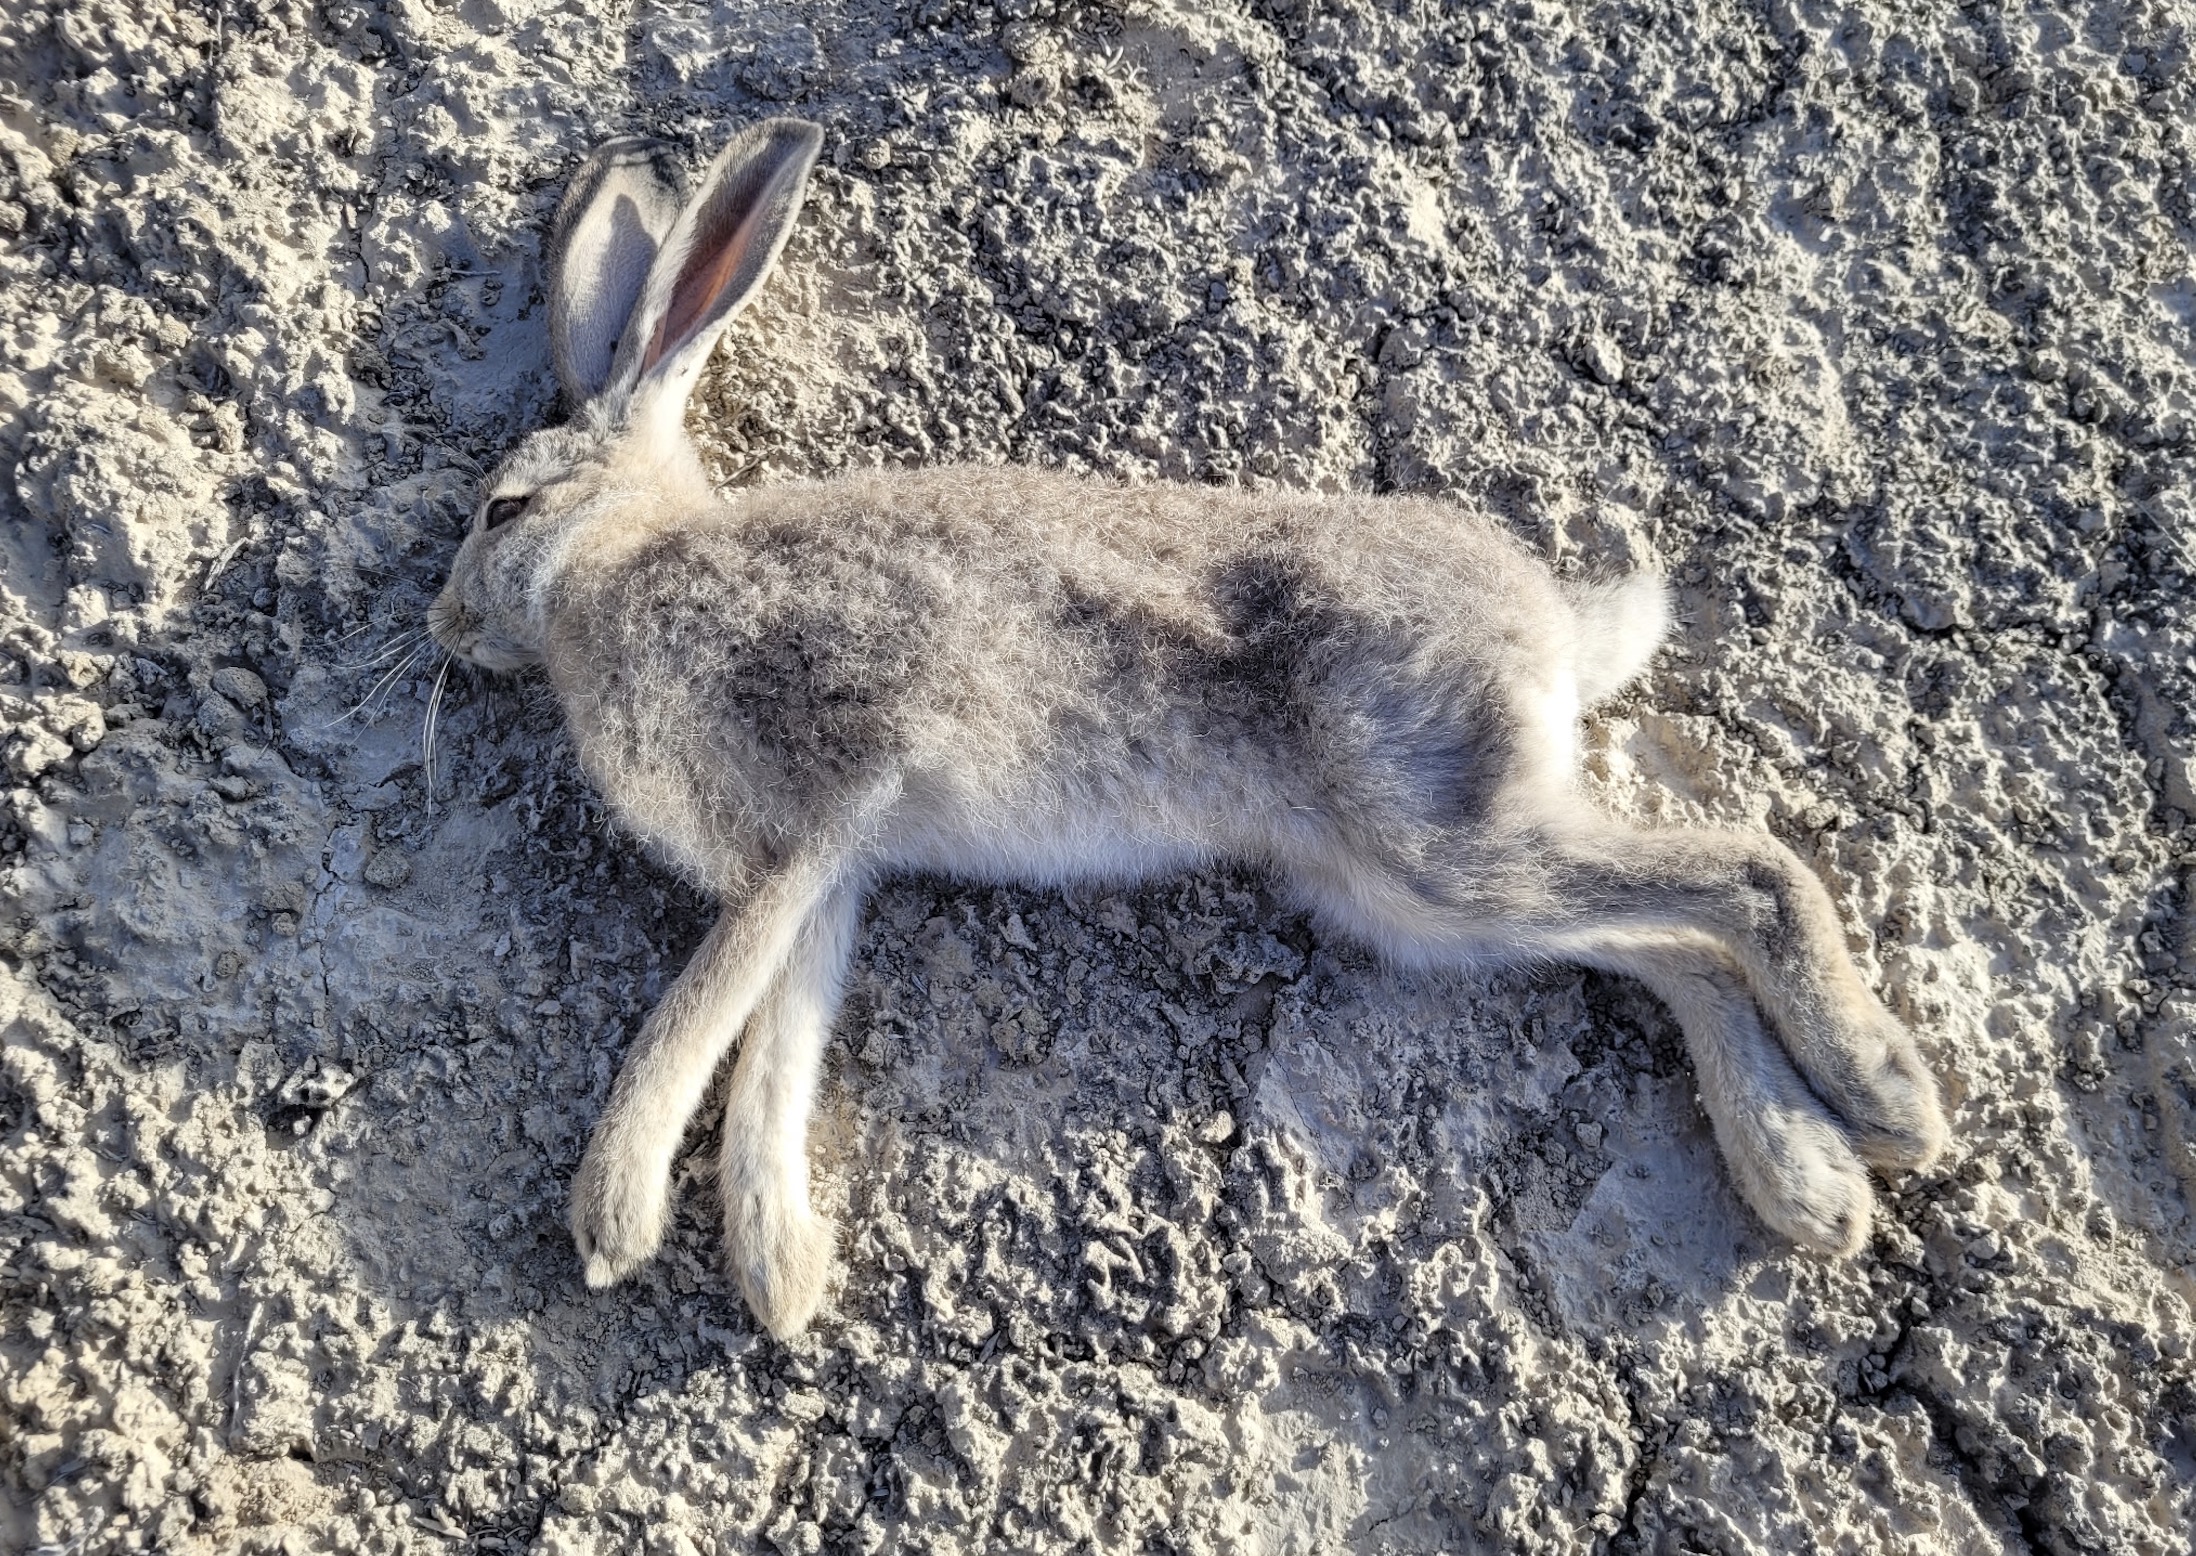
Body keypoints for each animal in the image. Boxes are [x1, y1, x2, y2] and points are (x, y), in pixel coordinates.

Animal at [428, 119, 1947, 1339]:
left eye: (503, 510)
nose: (442, 623)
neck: (621, 566)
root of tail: (1558, 631)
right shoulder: (832, 876)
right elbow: (779, 1043)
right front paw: (783, 1269)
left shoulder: (812, 818)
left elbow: (702, 1009)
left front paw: (613, 1213)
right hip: (1414, 895)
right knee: (1672, 948)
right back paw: (1808, 1177)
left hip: (1441, 836)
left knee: (1747, 872)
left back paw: (1887, 1098)